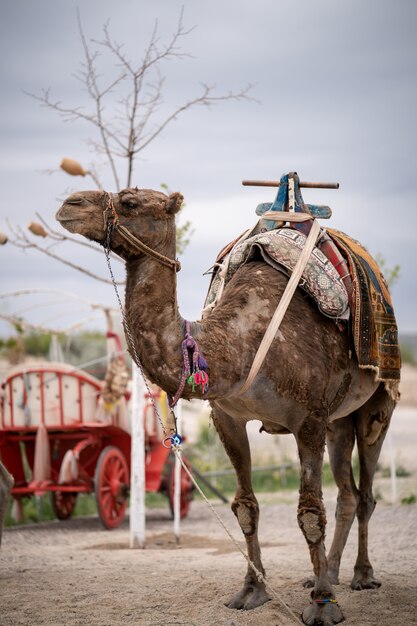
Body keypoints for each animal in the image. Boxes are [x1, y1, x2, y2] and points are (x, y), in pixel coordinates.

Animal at [56, 185, 396, 624]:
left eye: (130, 201)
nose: (70, 204)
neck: (237, 343)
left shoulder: (309, 419)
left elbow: (309, 513)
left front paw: (322, 605)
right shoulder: (229, 416)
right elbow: (245, 507)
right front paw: (252, 590)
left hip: (375, 404)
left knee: (366, 489)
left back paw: (361, 576)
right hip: (339, 420)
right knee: (348, 495)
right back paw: (332, 571)